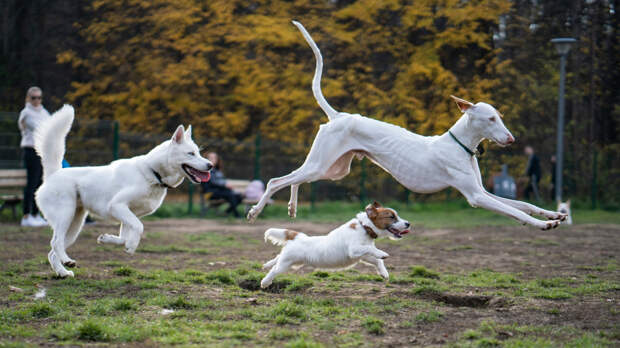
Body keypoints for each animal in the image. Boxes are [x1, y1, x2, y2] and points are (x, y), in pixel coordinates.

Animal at [34, 105, 213, 278]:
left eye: (199, 153)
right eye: (191, 154)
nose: (210, 165)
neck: (152, 173)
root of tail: (53, 174)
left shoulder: (127, 214)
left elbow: (124, 236)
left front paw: (109, 240)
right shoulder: (117, 206)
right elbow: (139, 227)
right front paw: (132, 246)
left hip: (74, 225)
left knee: (52, 252)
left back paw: (63, 271)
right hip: (65, 215)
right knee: (55, 243)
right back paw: (66, 262)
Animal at [247, 20, 568, 230]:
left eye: (499, 116)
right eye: (491, 118)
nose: (511, 139)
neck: (460, 146)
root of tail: (338, 116)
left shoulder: (484, 192)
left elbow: (524, 205)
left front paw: (553, 214)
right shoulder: (476, 197)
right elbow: (517, 213)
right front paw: (541, 225)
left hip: (333, 170)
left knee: (294, 179)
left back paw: (292, 206)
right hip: (323, 164)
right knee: (277, 180)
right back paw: (255, 210)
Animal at [260, 201, 410, 288]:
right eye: (391, 216)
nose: (408, 223)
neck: (365, 227)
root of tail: (298, 236)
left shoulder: (362, 256)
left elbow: (377, 260)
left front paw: (384, 273)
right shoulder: (354, 250)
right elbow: (372, 249)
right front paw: (383, 253)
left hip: (291, 261)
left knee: (276, 259)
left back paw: (266, 264)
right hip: (286, 264)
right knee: (274, 270)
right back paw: (265, 282)